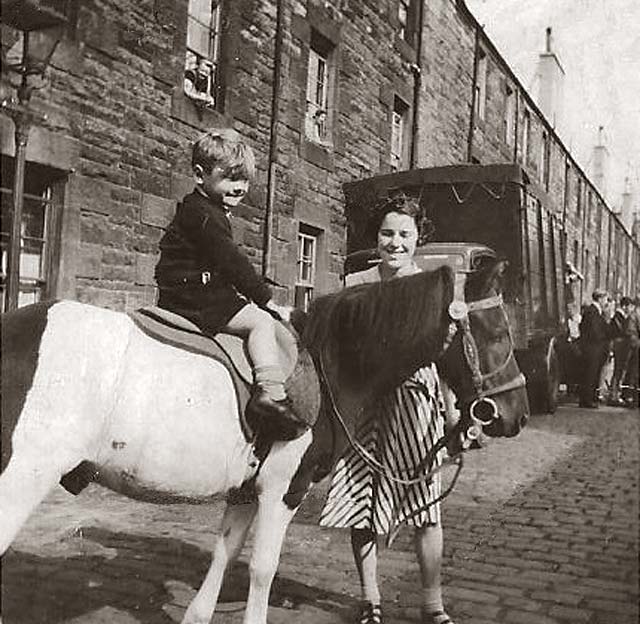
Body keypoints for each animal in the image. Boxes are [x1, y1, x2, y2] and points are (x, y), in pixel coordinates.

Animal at [0, 258, 528, 624]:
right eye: (497, 332)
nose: (516, 415)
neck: (328, 360)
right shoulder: (283, 490)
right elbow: (261, 568)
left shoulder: (245, 491)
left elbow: (225, 553)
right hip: (21, 476)